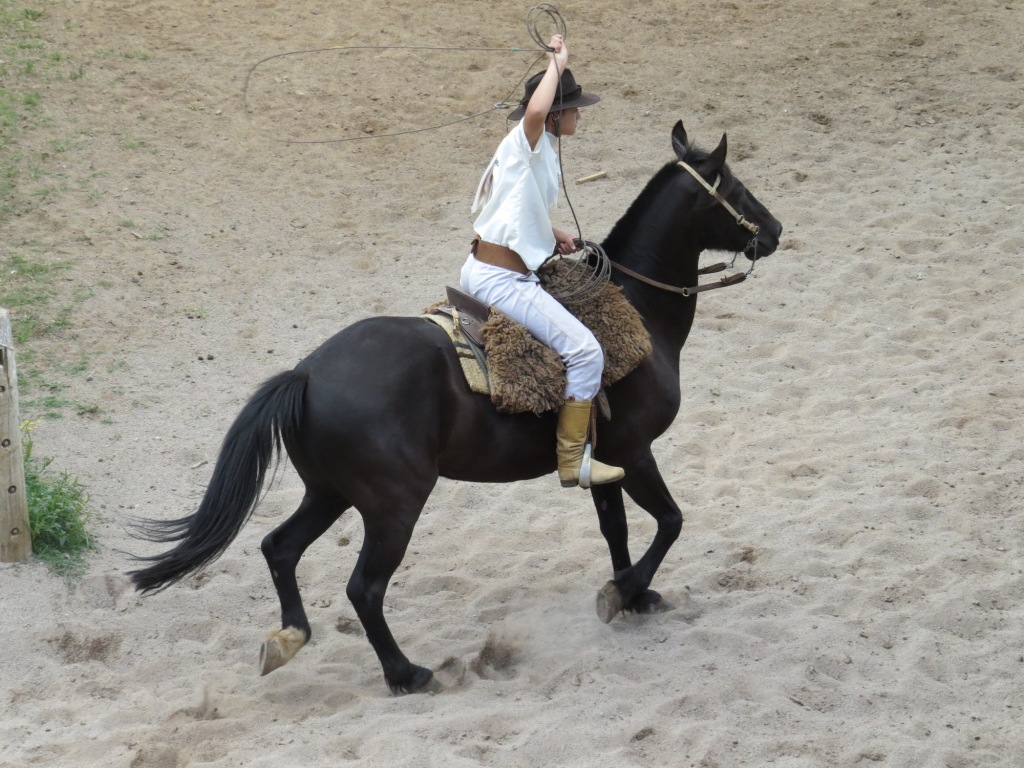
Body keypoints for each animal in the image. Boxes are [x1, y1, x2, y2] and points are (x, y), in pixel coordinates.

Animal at [130, 123, 782, 696]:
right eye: (735, 187)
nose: (774, 230)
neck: (636, 305)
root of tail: (307, 373)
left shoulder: (605, 461)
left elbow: (615, 527)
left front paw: (631, 593)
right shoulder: (637, 451)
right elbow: (670, 521)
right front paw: (625, 592)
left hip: (330, 492)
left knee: (279, 548)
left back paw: (289, 639)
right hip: (394, 504)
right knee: (364, 588)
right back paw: (406, 673)